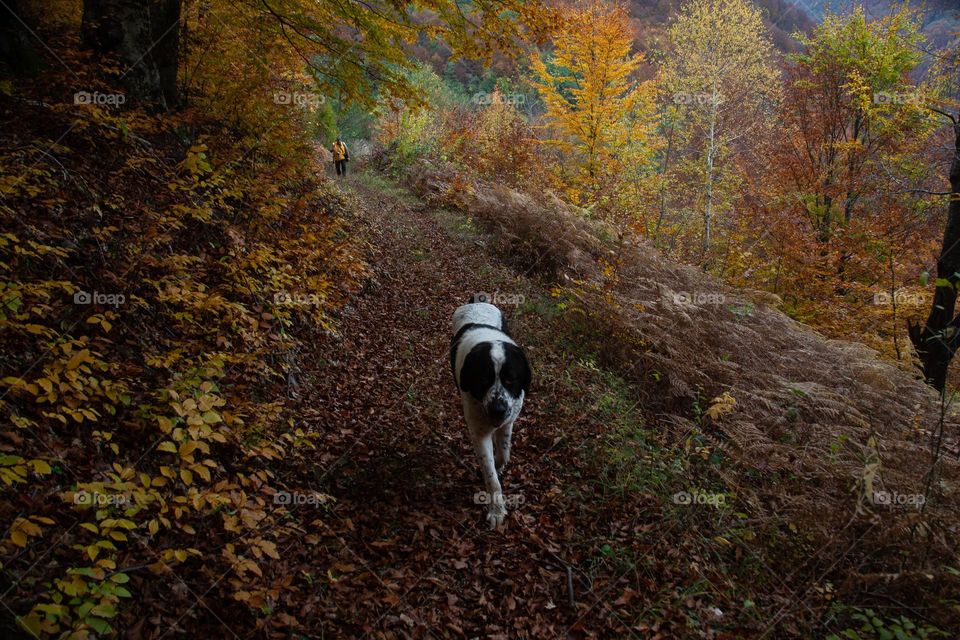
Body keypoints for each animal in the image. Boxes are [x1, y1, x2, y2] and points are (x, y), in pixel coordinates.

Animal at [450, 298, 532, 528]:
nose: (497, 409)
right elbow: (490, 474)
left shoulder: (509, 418)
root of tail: (477, 301)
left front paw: (500, 462)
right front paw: (496, 509)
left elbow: (504, 450)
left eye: (510, 380)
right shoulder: (478, 431)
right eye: (483, 380)